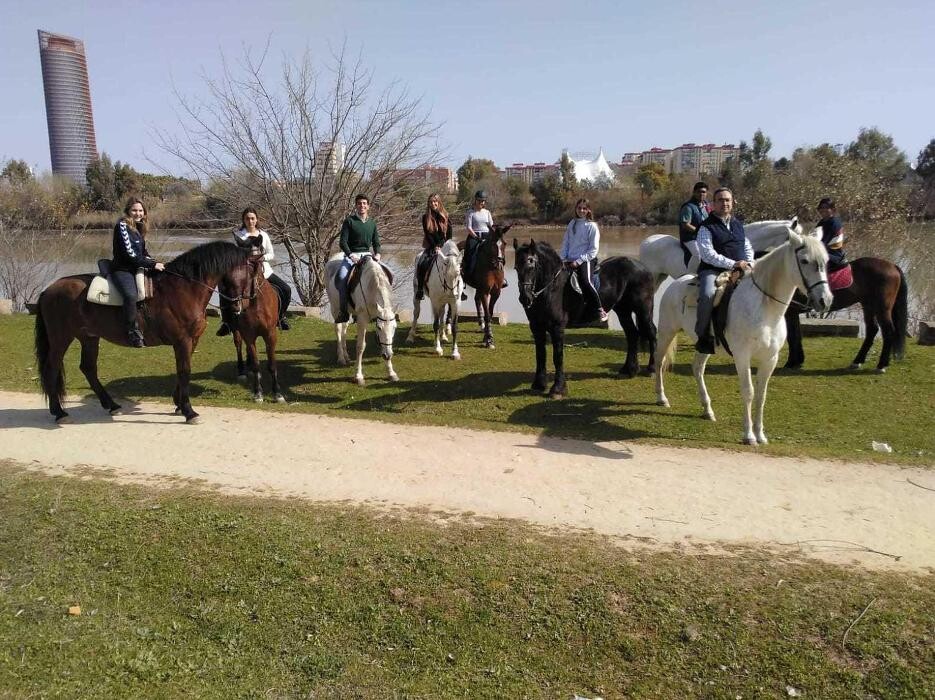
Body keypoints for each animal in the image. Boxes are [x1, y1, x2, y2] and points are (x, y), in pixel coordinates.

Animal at [35, 241, 262, 424]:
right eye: (253, 273)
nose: (247, 302)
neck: (184, 288)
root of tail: (49, 290)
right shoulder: (182, 341)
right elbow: (184, 371)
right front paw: (189, 411)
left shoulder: (192, 340)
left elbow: (183, 370)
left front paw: (178, 404)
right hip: (61, 339)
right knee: (52, 368)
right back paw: (59, 412)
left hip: (89, 337)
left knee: (88, 368)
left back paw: (112, 405)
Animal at [326, 254, 398, 386]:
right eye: (379, 327)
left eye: (395, 327)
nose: (388, 355)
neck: (371, 286)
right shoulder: (362, 319)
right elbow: (360, 346)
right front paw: (358, 376)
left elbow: (383, 342)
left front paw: (391, 373)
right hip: (335, 308)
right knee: (338, 330)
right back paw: (341, 358)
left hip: (347, 312)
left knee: (344, 329)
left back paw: (346, 355)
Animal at [512, 238, 660, 396]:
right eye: (516, 268)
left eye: (531, 265)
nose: (525, 299)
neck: (551, 288)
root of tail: (641, 267)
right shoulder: (536, 327)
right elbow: (540, 355)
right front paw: (539, 384)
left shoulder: (557, 328)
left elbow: (558, 357)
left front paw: (558, 389)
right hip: (623, 310)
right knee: (632, 334)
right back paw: (629, 370)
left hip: (643, 309)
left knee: (651, 333)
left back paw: (651, 369)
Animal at [652, 227, 832, 446]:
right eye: (804, 260)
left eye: (826, 260)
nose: (825, 301)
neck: (764, 309)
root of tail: (675, 283)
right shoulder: (742, 356)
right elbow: (748, 392)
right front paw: (749, 435)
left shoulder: (770, 359)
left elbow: (762, 395)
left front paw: (761, 435)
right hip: (667, 332)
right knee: (659, 361)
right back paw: (662, 398)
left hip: (705, 345)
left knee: (697, 369)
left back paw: (707, 410)